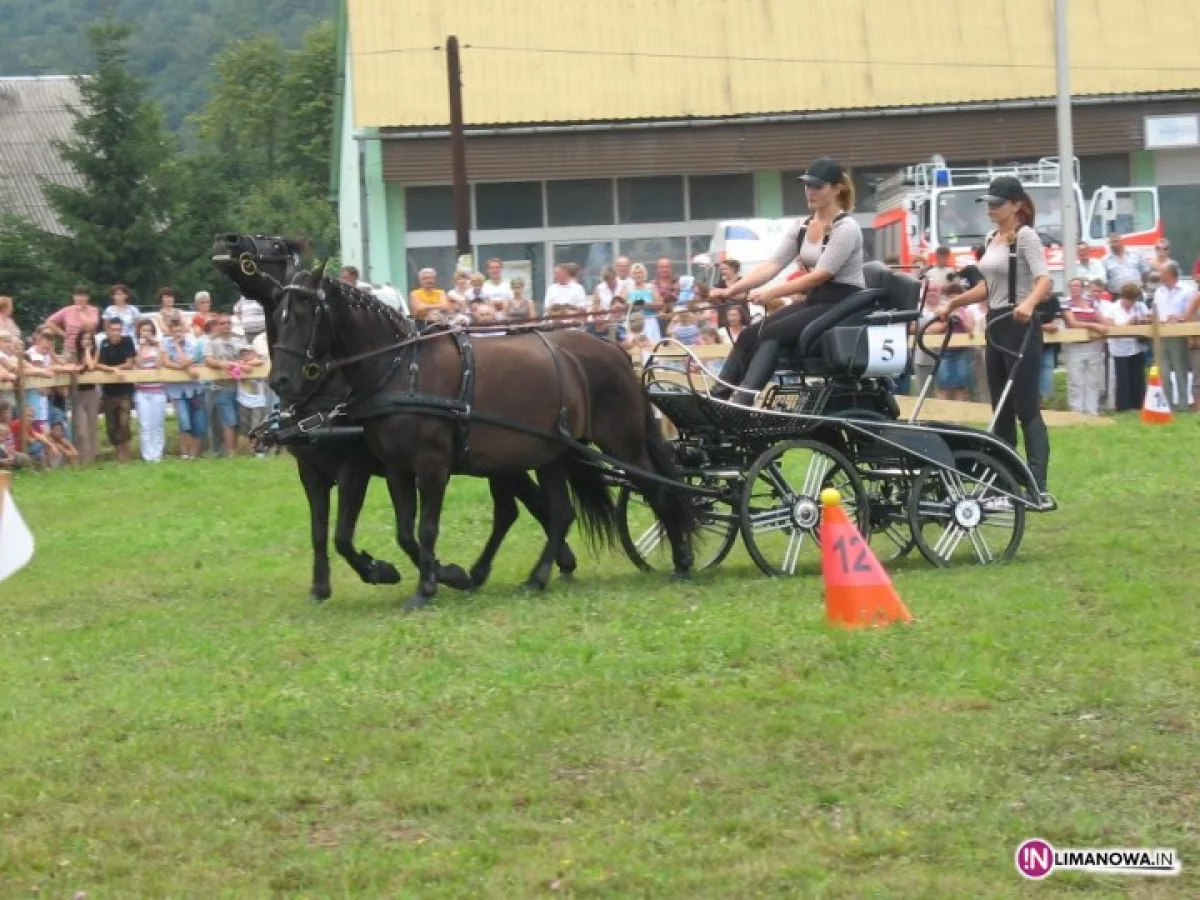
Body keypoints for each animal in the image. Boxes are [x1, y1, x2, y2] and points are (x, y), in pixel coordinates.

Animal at [213, 236, 578, 602]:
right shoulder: (312, 471)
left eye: (271, 243)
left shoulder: (355, 468)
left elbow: (345, 535)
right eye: (282, 313)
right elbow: (319, 531)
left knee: (525, 508)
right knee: (524, 507)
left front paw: (397, 571)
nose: (227, 240)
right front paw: (321, 586)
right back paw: (547, 563)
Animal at [265, 264, 696, 609]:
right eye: (277, 315)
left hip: (619, 443)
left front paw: (425, 586)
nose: (280, 381)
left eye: (303, 314)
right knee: (556, 512)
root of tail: (616, 350)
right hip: (548, 455)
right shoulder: (386, 470)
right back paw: (535, 576)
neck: (402, 368)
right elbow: (388, 532)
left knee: (658, 490)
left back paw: (682, 562)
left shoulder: (420, 467)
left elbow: (418, 529)